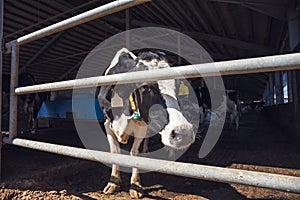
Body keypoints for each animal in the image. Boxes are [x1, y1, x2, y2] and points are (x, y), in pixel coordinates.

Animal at [98, 47, 195, 198]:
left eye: (178, 85)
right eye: (146, 88)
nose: (183, 132)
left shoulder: (142, 126)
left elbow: (134, 152)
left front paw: (135, 185)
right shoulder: (107, 123)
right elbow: (115, 152)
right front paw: (113, 182)